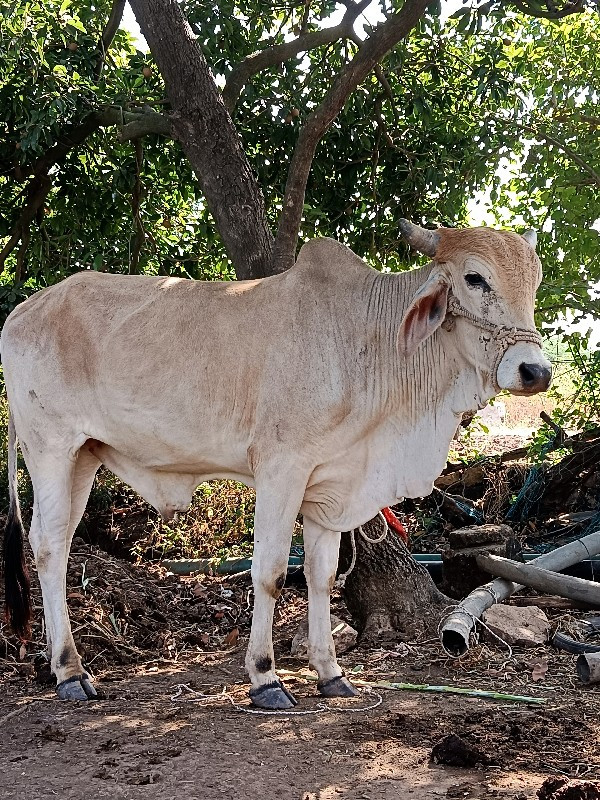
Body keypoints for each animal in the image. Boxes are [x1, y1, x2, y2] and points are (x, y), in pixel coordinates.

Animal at [1, 222, 552, 708]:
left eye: (535, 280)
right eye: (474, 278)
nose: (535, 371)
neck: (367, 341)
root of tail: (23, 311)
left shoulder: (329, 486)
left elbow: (321, 576)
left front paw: (330, 673)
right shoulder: (281, 469)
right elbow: (268, 573)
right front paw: (266, 678)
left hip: (84, 457)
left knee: (57, 541)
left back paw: (60, 666)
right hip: (50, 448)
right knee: (48, 547)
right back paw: (70, 673)